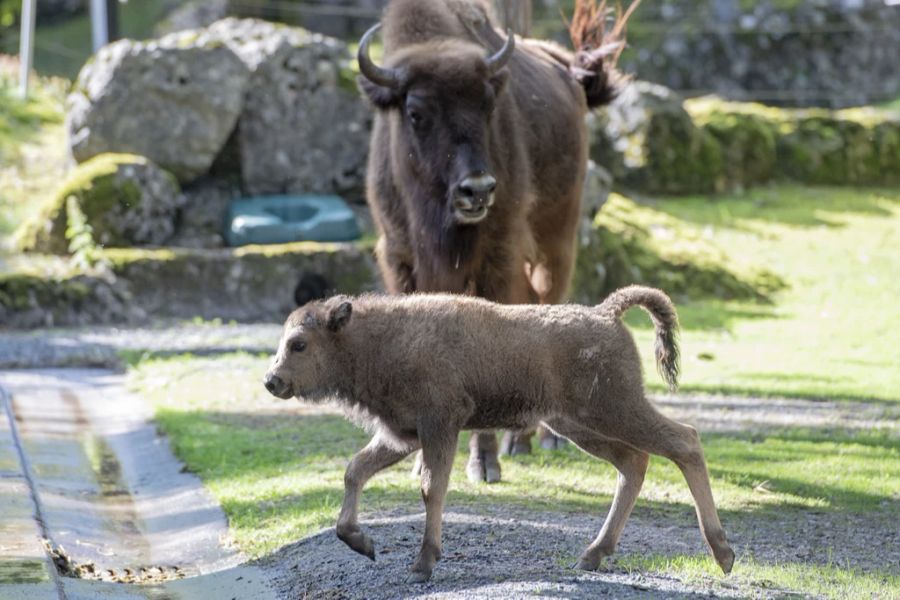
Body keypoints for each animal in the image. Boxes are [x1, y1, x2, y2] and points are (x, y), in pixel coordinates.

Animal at [264, 286, 736, 580]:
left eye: (299, 344)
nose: (272, 380)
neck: (375, 338)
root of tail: (605, 313)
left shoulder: (440, 425)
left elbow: (431, 488)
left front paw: (423, 565)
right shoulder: (402, 436)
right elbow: (354, 471)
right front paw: (362, 543)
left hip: (615, 409)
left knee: (684, 441)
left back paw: (723, 553)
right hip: (578, 424)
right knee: (634, 462)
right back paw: (592, 555)